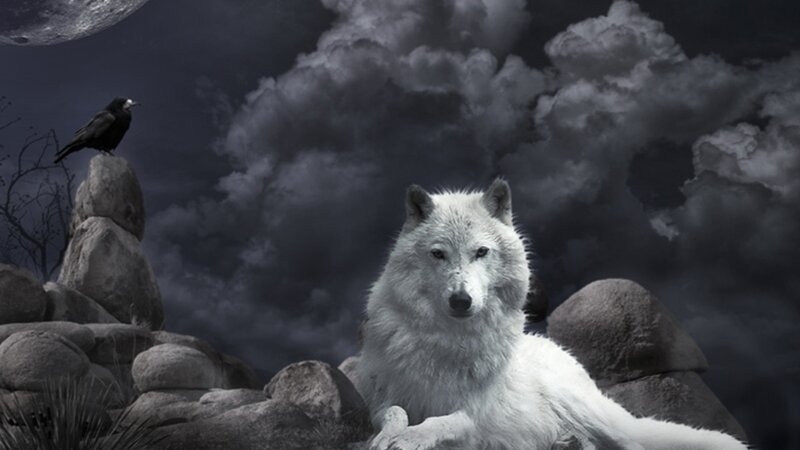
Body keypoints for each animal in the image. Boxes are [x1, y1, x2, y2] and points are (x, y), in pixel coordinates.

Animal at [352, 179, 747, 450]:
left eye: (481, 252)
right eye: (438, 254)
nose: (461, 301)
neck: (446, 342)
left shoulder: (475, 415)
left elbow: (441, 422)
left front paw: (411, 438)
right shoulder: (380, 397)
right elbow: (395, 414)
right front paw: (388, 436)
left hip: (585, 409)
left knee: (632, 444)